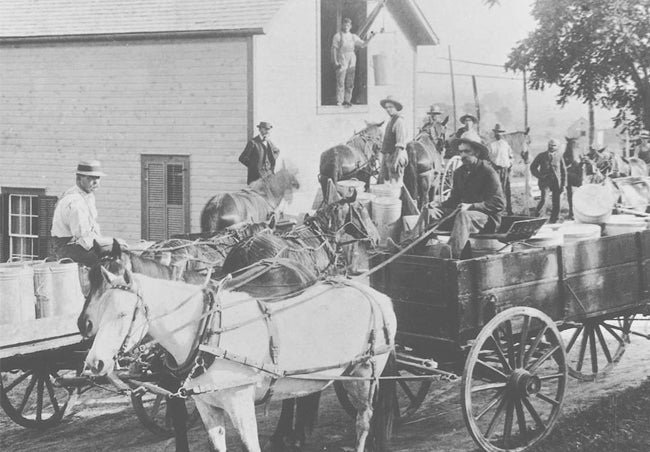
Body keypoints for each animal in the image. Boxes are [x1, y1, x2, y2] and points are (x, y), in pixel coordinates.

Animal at [79, 264, 394, 452]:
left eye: (122, 314)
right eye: (99, 312)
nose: (94, 363)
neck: (209, 334)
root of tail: (376, 295)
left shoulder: (241, 403)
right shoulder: (207, 407)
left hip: (365, 375)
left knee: (364, 421)